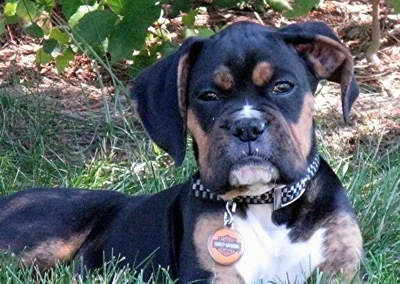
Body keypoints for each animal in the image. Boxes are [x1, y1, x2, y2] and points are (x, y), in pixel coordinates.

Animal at [0, 21, 362, 282]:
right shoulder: (211, 277)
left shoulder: (341, 268)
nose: (246, 127)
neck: (265, 204)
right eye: (208, 96)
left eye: (283, 87)